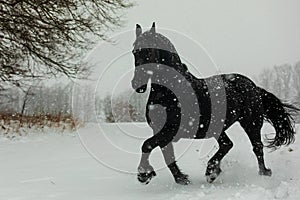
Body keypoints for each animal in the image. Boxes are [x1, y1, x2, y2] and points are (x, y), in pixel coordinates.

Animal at [130, 22, 298, 185]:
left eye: (150, 51)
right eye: (134, 52)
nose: (137, 84)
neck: (171, 90)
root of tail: (254, 86)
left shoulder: (169, 130)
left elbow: (147, 145)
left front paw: (143, 174)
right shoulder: (160, 130)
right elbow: (167, 156)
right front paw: (181, 178)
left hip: (251, 124)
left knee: (256, 147)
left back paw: (259, 173)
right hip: (218, 128)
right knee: (227, 144)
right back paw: (212, 172)